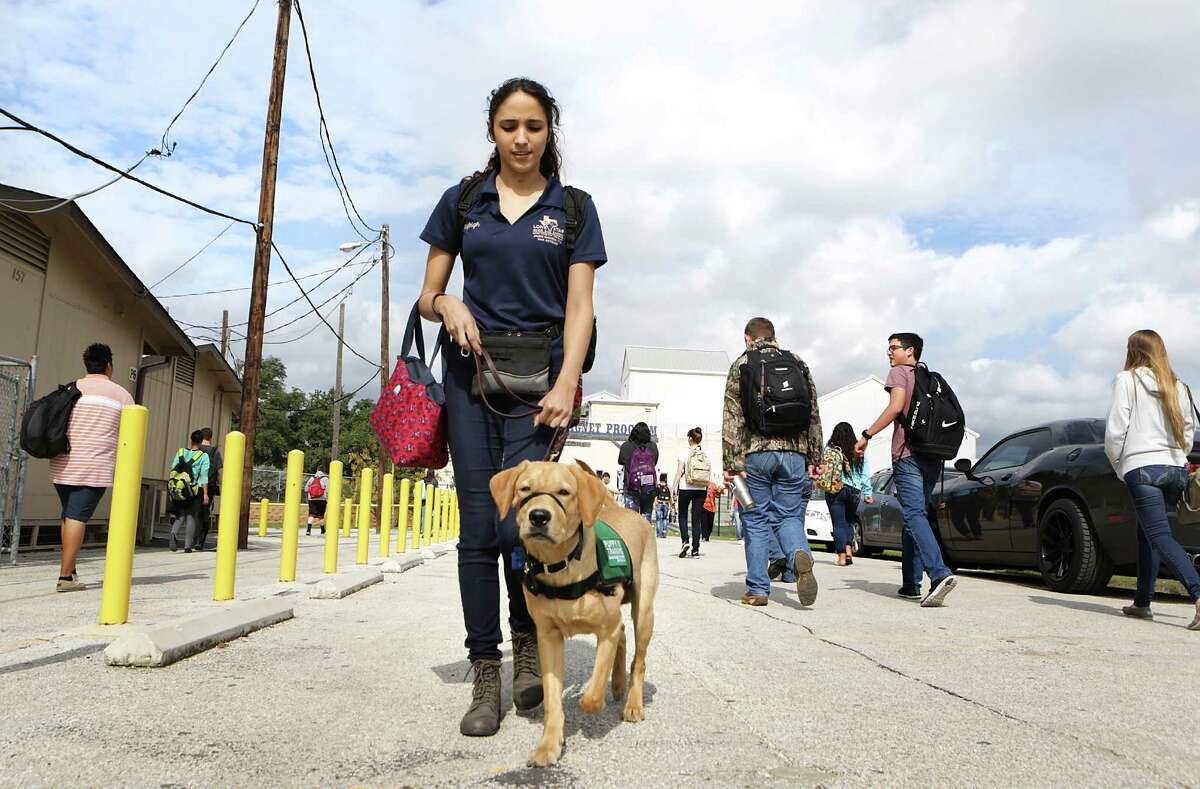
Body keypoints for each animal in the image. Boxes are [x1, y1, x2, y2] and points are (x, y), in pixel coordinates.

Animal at [487, 458, 657, 767]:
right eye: (525, 489)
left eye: (564, 492)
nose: (538, 516)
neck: (561, 566)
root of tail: (623, 509)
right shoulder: (548, 637)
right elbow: (552, 699)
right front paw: (549, 745)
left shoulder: (605, 629)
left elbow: (594, 687)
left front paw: (589, 700)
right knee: (623, 636)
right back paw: (618, 684)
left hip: (644, 610)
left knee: (638, 659)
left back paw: (633, 703)